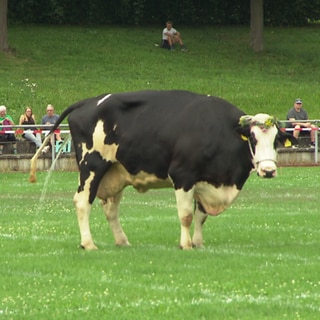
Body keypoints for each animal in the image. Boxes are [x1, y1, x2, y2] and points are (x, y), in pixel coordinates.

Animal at [29, 90, 296, 250]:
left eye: (275, 140)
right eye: (252, 138)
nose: (269, 170)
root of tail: (88, 102)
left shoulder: (205, 181)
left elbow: (201, 216)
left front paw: (198, 243)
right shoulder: (183, 175)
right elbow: (186, 215)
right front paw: (186, 244)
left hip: (115, 171)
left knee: (111, 210)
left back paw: (122, 241)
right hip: (92, 165)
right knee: (83, 201)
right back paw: (88, 243)